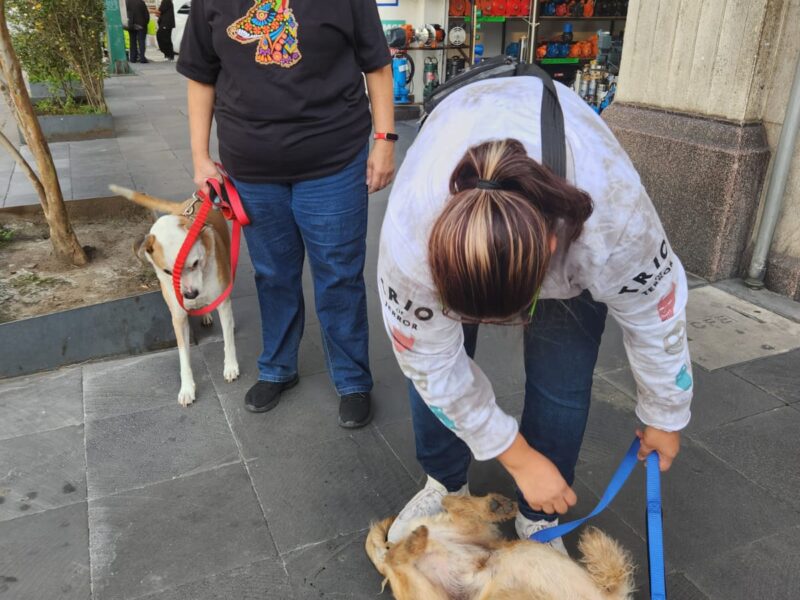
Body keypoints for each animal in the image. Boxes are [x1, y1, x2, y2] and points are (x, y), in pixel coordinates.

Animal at [110, 184, 241, 408]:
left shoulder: (222, 302)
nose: (190, 294)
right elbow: (183, 356)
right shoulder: (178, 317)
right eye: (168, 272)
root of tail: (186, 204)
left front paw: (231, 366)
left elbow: (229, 342)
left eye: (195, 263)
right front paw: (187, 388)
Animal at [366, 492, 636, 600]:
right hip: (424, 593)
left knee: (453, 504)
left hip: (473, 536)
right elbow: (615, 571)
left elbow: (616, 573)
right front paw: (595, 542)